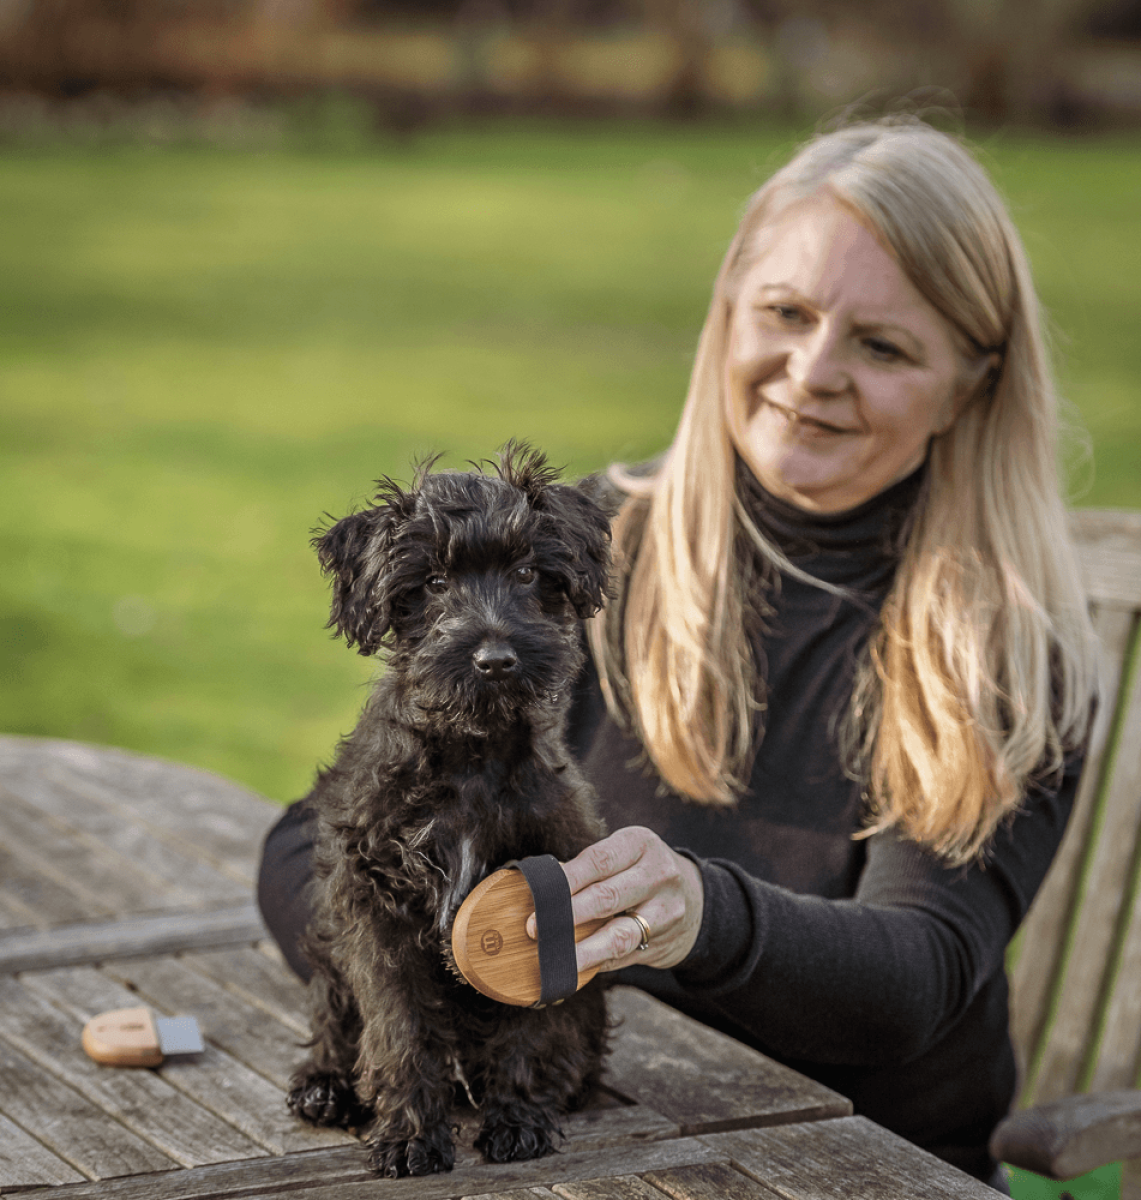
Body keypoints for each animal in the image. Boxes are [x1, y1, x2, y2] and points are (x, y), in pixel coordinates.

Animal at [290, 446, 614, 1176]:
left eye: (527, 572)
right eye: (434, 583)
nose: (496, 658)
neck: (471, 752)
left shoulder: (549, 898)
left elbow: (530, 1026)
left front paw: (519, 1119)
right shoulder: (374, 908)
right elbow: (399, 1030)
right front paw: (411, 1137)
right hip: (327, 948)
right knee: (334, 1021)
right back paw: (325, 1087)